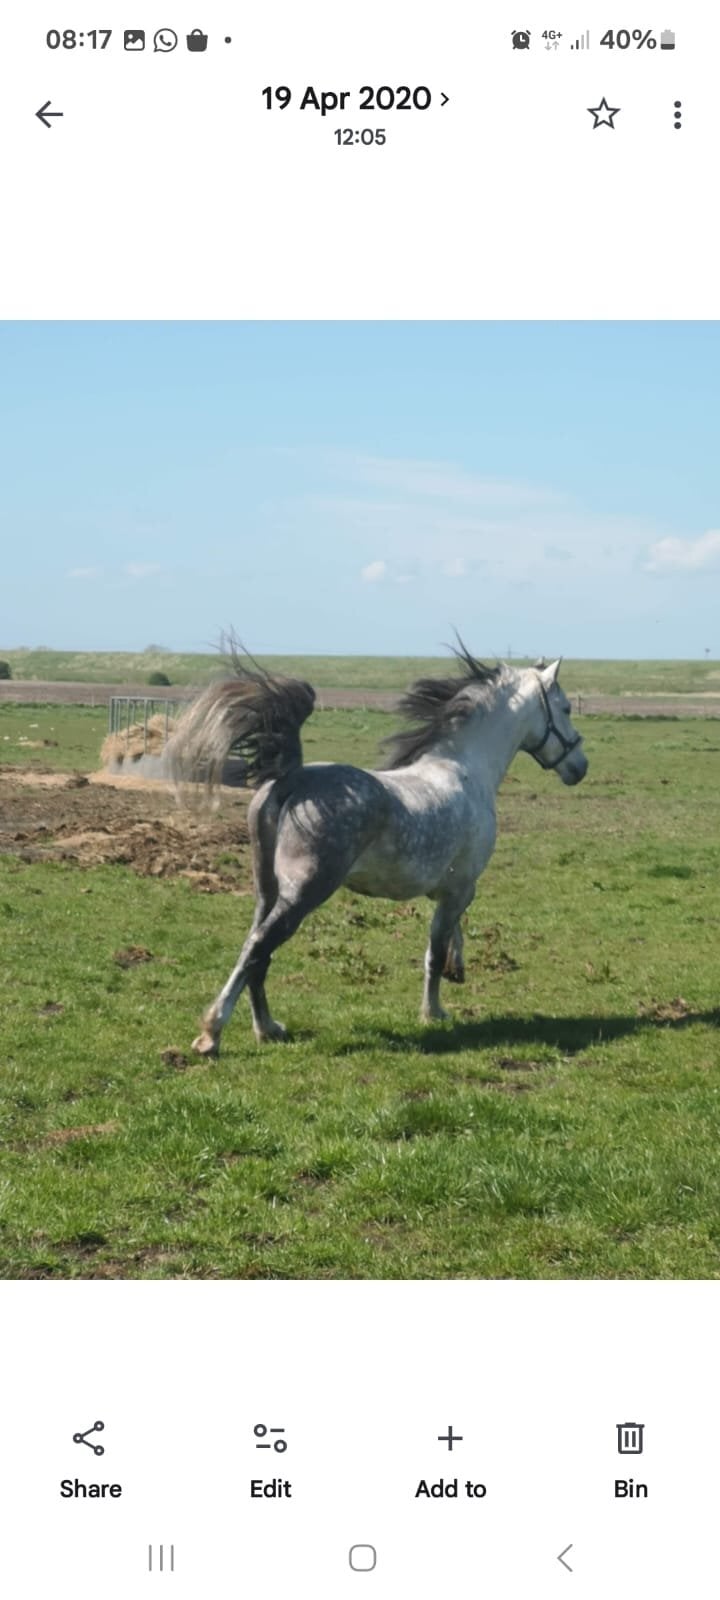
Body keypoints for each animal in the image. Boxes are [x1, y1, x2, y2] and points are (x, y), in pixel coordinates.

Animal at [168, 643, 588, 1055]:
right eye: (566, 708)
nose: (580, 767)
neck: (466, 771)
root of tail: (292, 780)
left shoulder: (449, 891)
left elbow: (451, 936)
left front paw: (457, 970)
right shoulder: (461, 887)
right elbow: (434, 951)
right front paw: (433, 1012)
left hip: (266, 890)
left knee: (257, 949)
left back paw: (267, 1028)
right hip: (303, 892)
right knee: (258, 946)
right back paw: (212, 1034)